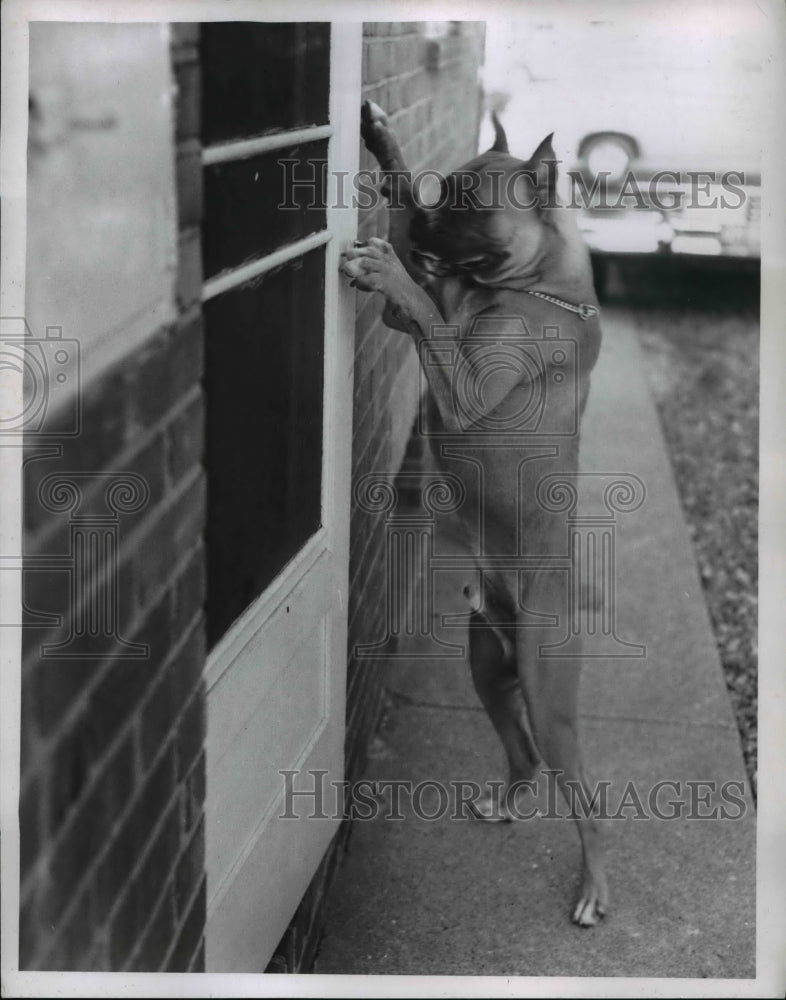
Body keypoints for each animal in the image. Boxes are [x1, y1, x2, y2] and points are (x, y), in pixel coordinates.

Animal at [342, 99, 608, 920]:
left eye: (470, 207)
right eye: (443, 189)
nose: (429, 222)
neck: (532, 286)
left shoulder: (458, 378)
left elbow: (424, 306)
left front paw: (392, 267)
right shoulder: (421, 334)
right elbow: (424, 299)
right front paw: (383, 144)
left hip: (550, 698)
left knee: (587, 803)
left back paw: (594, 889)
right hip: (488, 668)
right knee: (522, 756)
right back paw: (506, 803)